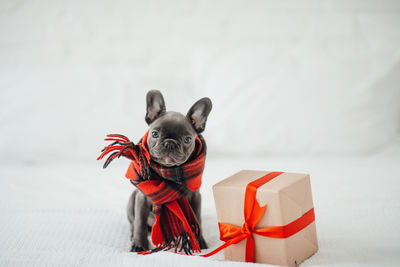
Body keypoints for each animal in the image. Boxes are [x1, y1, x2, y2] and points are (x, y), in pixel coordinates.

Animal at [127, 90, 212, 253]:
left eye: (187, 139)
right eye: (154, 134)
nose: (169, 143)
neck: (168, 172)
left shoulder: (195, 197)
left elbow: (196, 219)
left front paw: (199, 241)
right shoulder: (141, 198)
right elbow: (140, 222)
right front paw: (139, 244)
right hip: (131, 201)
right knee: (133, 223)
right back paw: (133, 236)